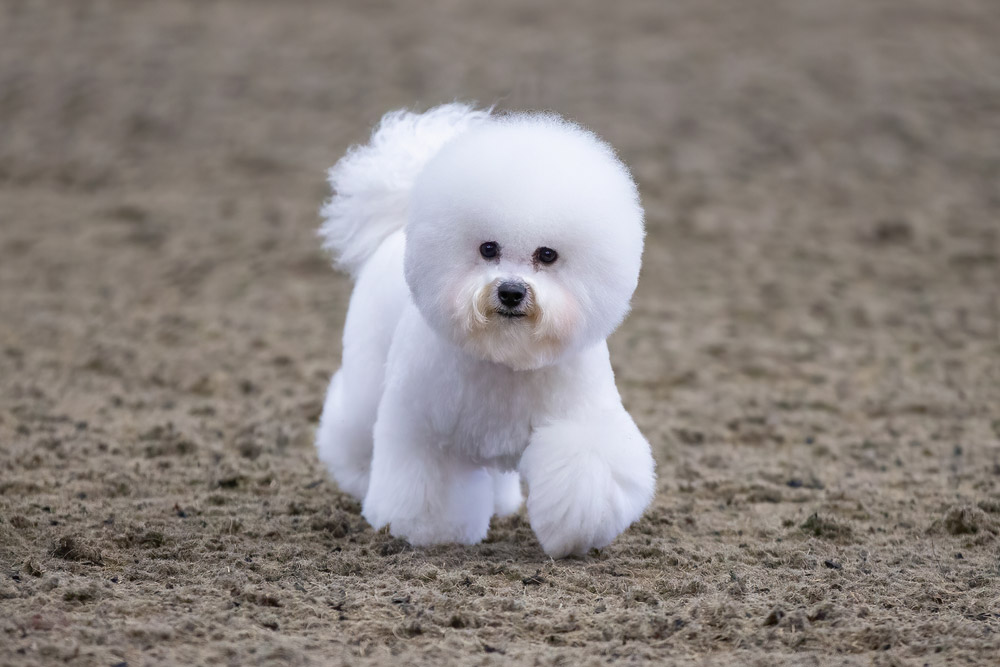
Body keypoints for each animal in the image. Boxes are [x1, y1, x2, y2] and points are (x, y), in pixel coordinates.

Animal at [314, 102, 656, 556]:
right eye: (488, 249)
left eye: (547, 255)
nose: (511, 292)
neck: (505, 357)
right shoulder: (426, 431)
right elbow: (429, 485)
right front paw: (430, 532)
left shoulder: (579, 417)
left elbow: (587, 467)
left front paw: (573, 530)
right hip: (367, 376)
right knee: (351, 425)